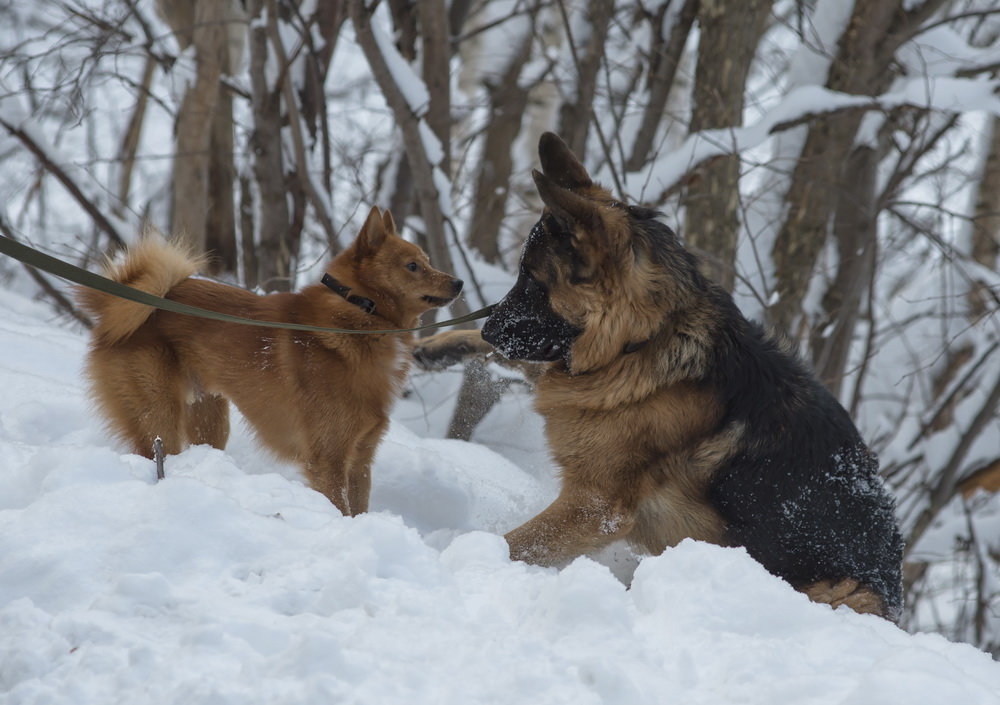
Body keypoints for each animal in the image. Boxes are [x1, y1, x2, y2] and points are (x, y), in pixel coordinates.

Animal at [80, 206, 462, 516]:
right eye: (413, 266)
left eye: (427, 260)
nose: (458, 282)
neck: (358, 313)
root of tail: (116, 308)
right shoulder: (329, 459)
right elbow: (339, 506)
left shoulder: (361, 459)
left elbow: (358, 507)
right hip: (158, 416)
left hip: (209, 419)